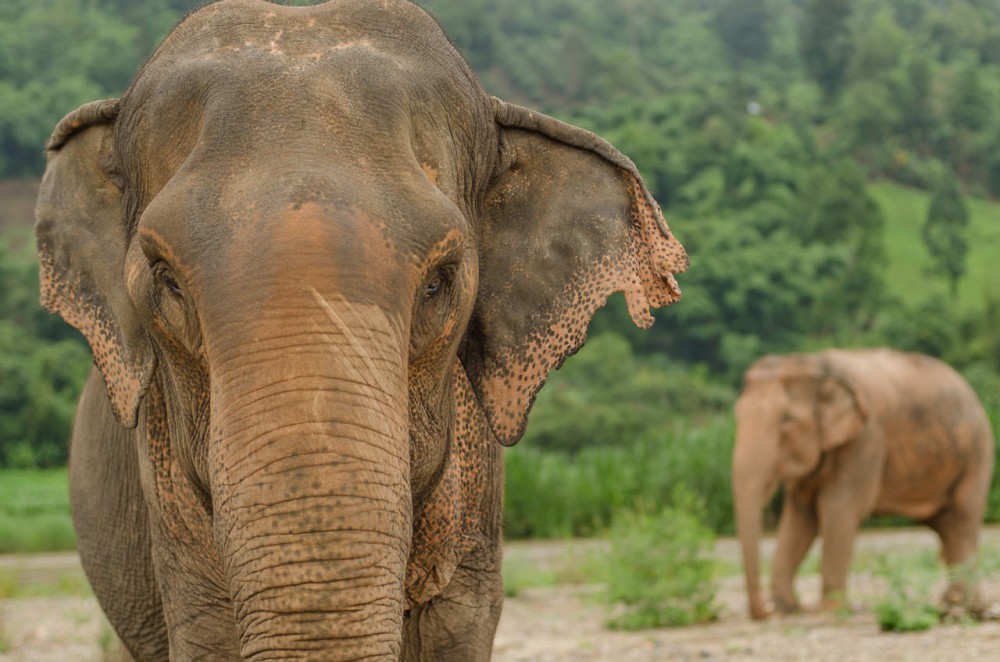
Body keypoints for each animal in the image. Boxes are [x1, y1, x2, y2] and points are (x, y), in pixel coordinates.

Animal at [732, 348, 996, 624]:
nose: (765, 613)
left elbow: (838, 508)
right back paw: (963, 606)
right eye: (736, 417)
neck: (813, 364)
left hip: (978, 454)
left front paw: (826, 611)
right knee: (947, 527)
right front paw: (790, 608)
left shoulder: (866, 439)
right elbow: (800, 516)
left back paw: (961, 608)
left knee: (961, 520)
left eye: (786, 420)